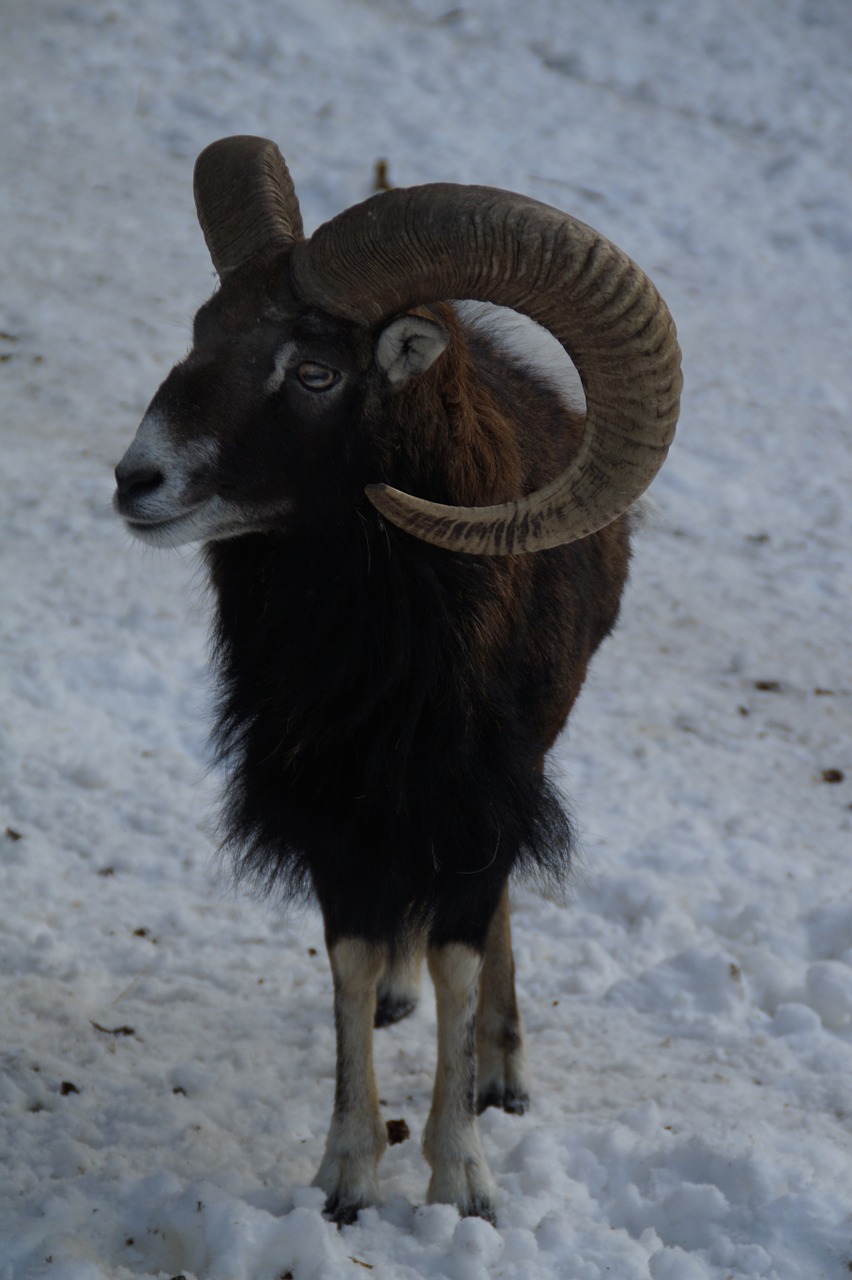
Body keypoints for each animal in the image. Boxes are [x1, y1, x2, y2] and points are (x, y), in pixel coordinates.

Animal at [114, 135, 685, 1223]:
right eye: (204, 330)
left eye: (314, 370)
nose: (137, 481)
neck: (385, 671)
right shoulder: (330, 809)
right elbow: (349, 959)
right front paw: (345, 1181)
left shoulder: (483, 800)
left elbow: (464, 960)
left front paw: (462, 1180)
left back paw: (504, 1071)